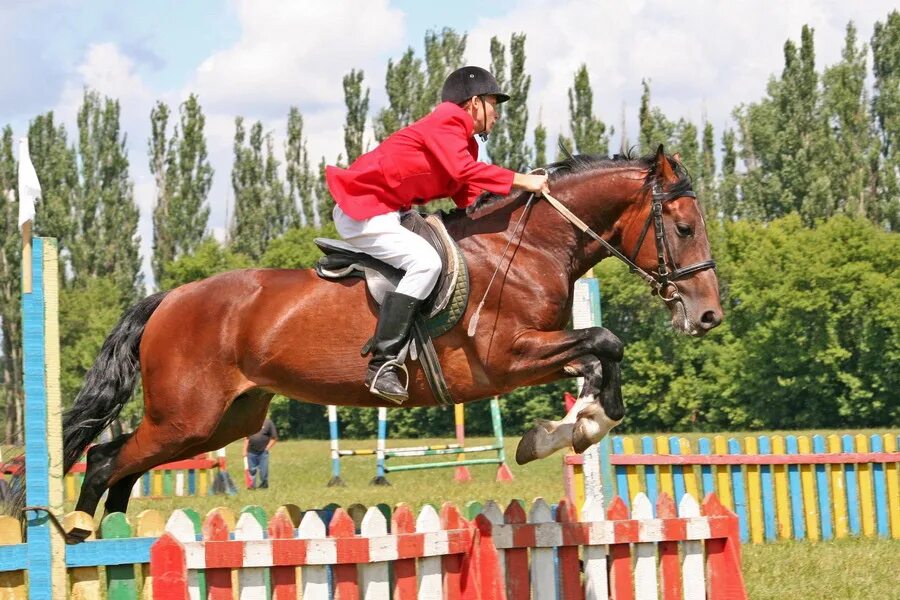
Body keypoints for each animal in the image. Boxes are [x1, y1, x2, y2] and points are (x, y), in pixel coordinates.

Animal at [45, 144, 720, 540]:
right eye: (685, 227)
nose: (708, 315)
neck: (526, 246)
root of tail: (169, 299)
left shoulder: (536, 353)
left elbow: (600, 357)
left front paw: (566, 429)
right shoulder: (507, 358)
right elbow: (605, 341)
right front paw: (569, 429)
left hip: (222, 423)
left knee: (123, 462)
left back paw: (115, 541)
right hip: (186, 417)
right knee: (104, 460)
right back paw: (81, 538)